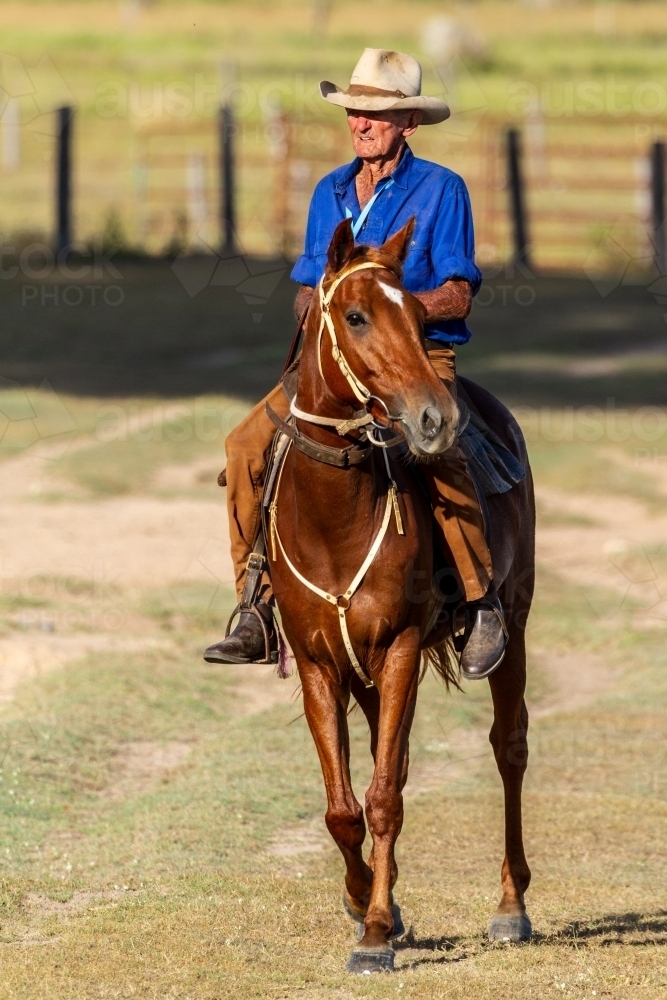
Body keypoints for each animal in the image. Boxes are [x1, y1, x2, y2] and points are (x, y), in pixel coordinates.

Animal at [268, 217, 536, 968]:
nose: (432, 418)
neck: (334, 520)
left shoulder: (400, 648)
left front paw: (376, 933)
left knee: (508, 746)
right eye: (355, 316)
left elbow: (384, 797)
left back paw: (511, 906)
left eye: (419, 316)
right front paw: (364, 902)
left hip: (513, 626)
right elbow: (343, 807)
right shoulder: (320, 662)